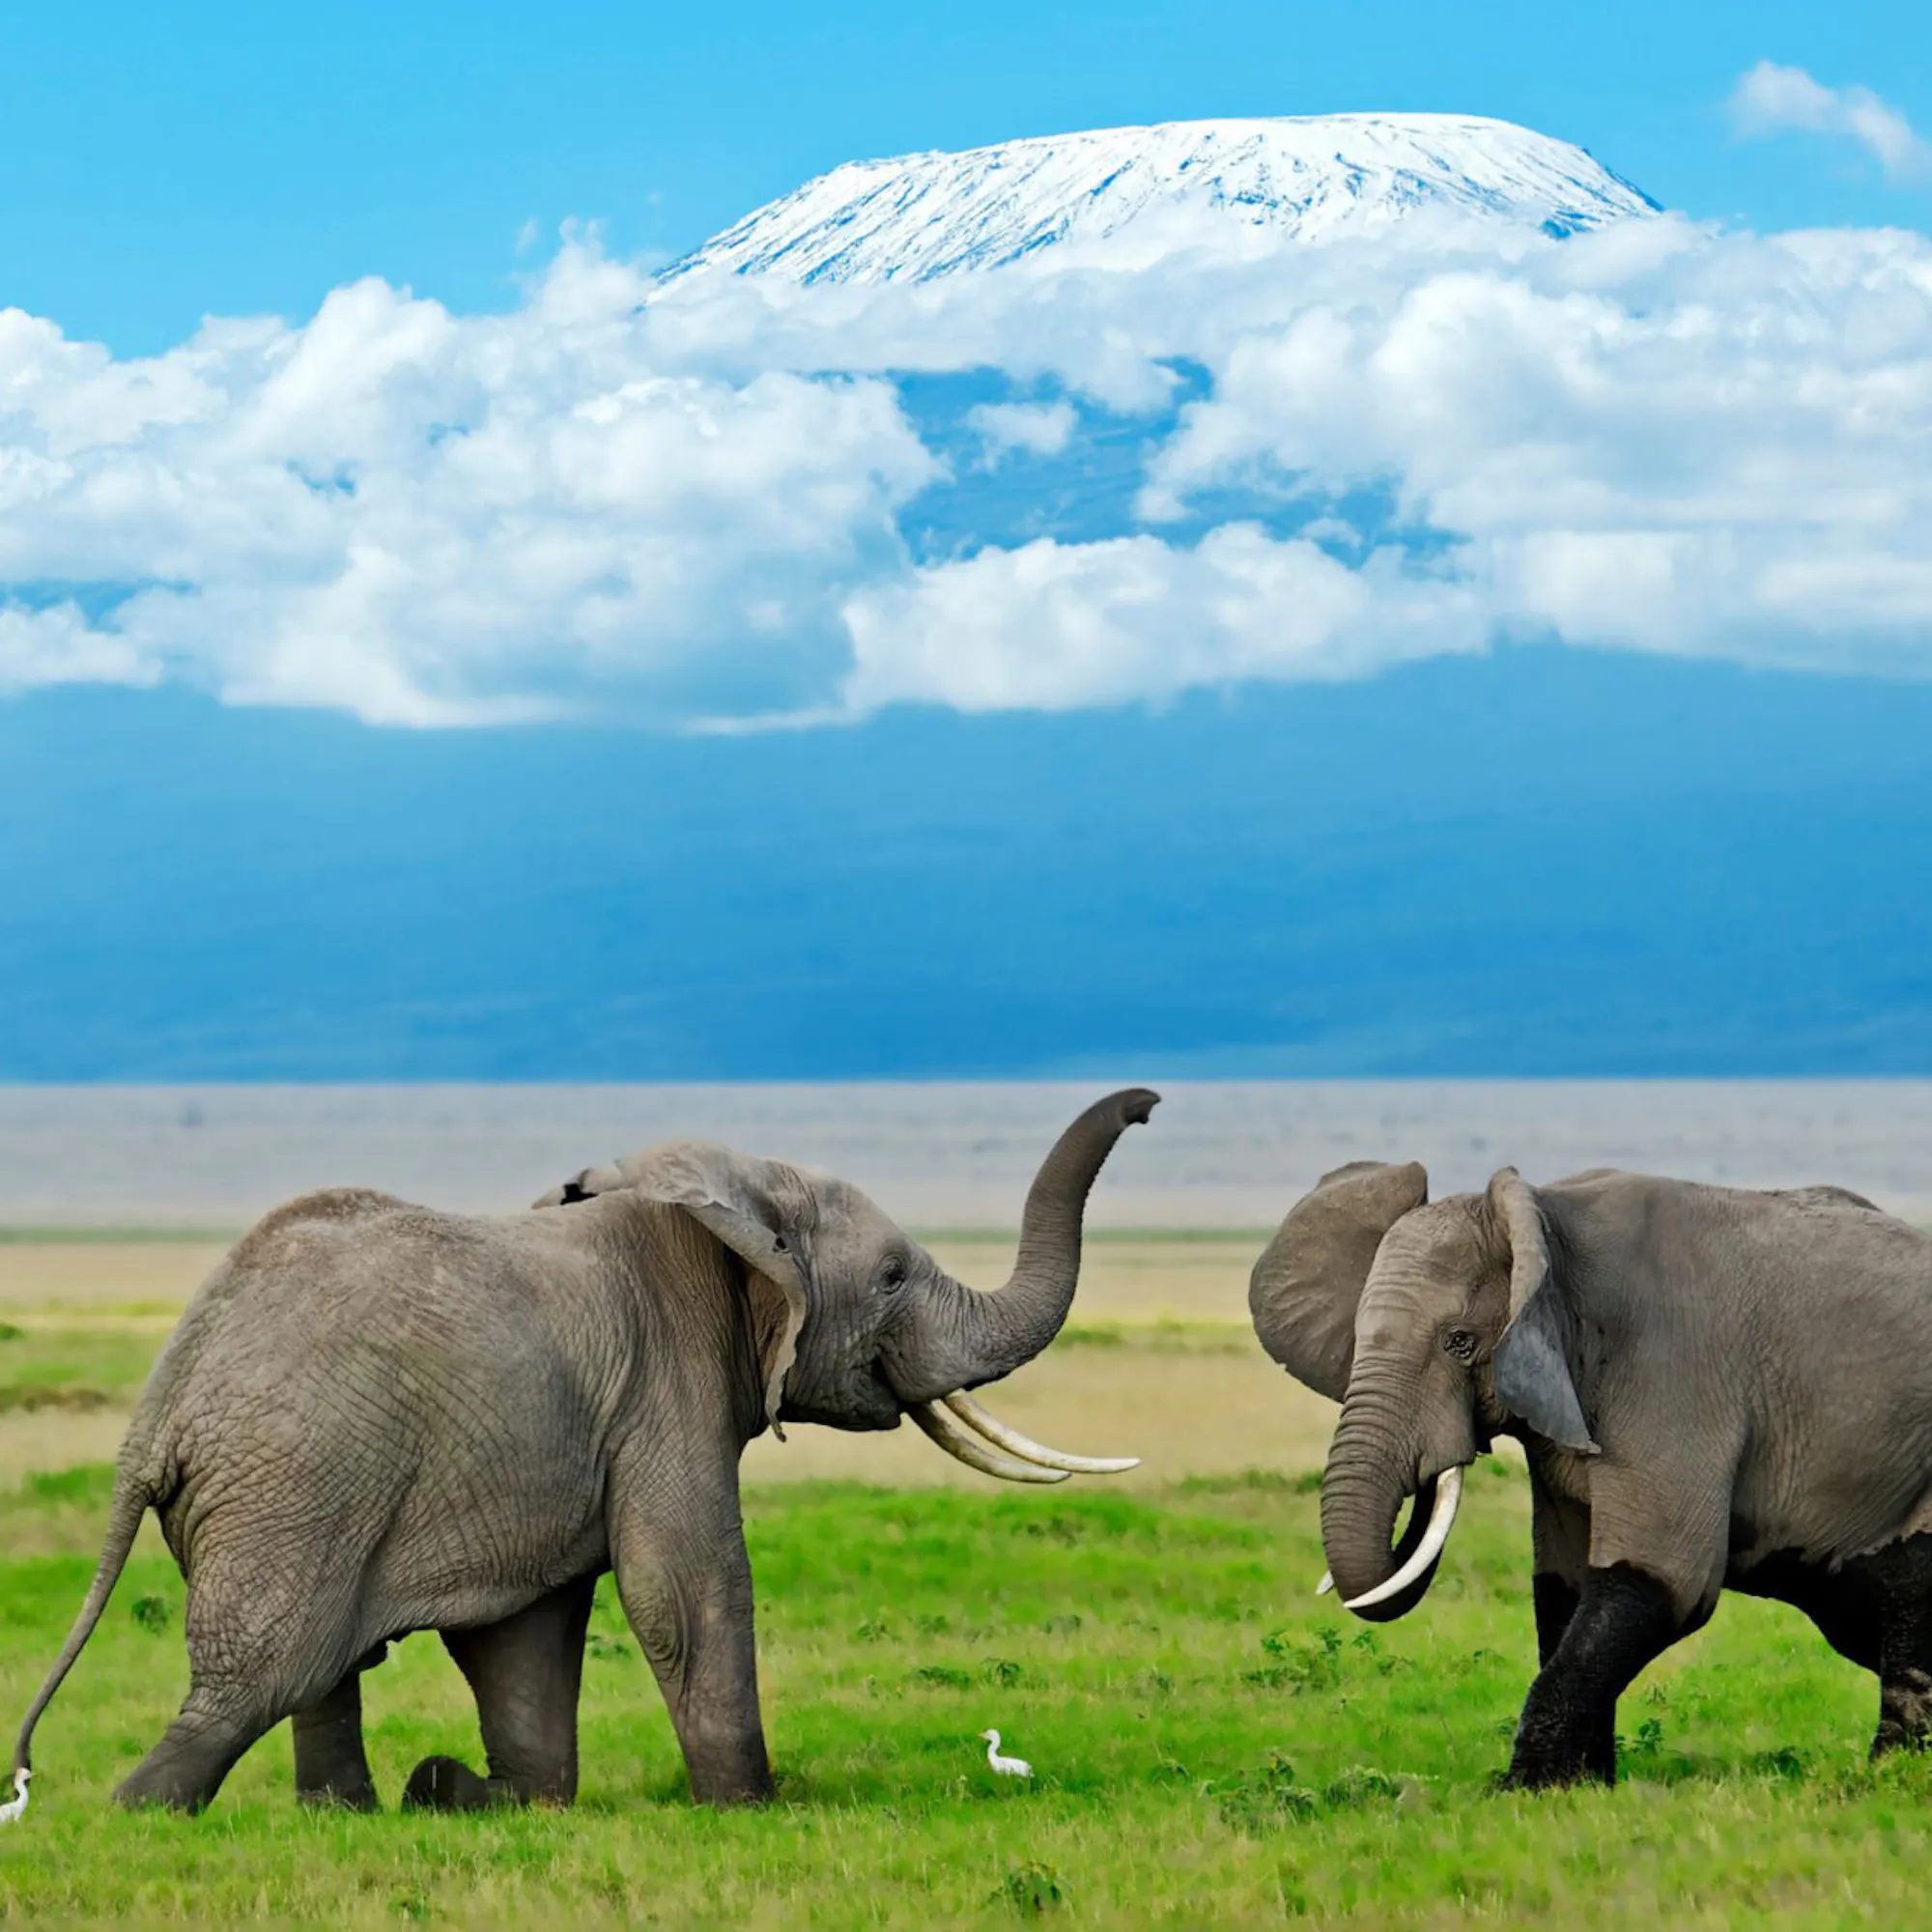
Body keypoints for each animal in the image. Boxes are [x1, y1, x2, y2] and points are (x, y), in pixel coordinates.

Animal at [12, 1088, 1157, 1815]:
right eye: (889, 1278)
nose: (1147, 1106)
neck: (735, 1203)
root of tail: (163, 1402)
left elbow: (530, 1627)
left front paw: (498, 1796)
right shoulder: (666, 1380)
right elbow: (685, 1585)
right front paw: (749, 1808)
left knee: (319, 1668)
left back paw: (369, 1808)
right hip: (296, 1481)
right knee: (266, 1672)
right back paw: (139, 1811)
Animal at [1249, 1158, 1932, 1789]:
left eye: (1460, 1342)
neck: (1546, 1222)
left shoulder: (1672, 1373)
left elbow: (1663, 1579)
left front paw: (1521, 1792)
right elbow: (1563, 1588)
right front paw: (1579, 1788)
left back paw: (1892, 1778)